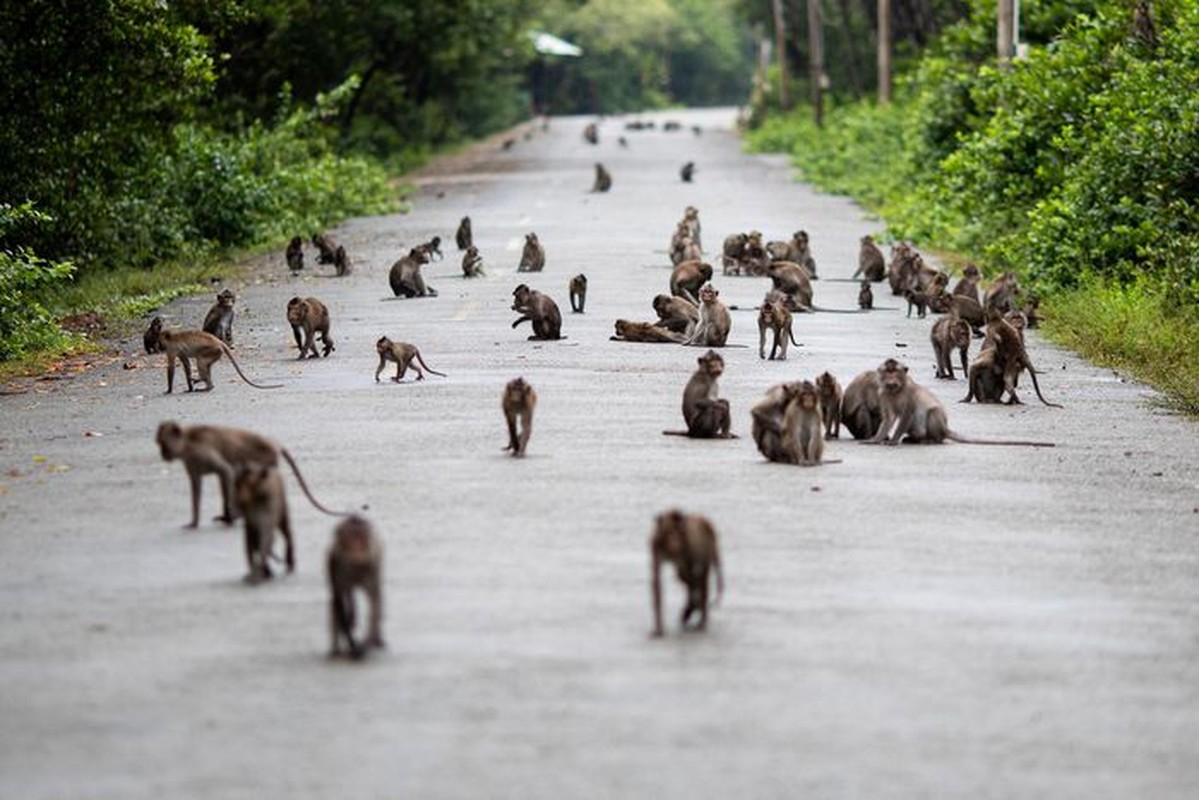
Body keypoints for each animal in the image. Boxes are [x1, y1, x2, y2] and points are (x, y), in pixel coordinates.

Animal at [154, 419, 342, 532]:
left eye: (163, 443)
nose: (162, 454)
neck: (186, 444)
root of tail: (272, 444)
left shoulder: (202, 452)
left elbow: (225, 471)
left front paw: (230, 518)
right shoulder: (191, 463)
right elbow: (196, 486)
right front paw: (194, 522)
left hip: (264, 459)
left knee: (239, 471)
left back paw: (235, 515)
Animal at [328, 515, 383, 662]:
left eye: (362, 538)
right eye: (350, 538)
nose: (358, 551)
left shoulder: (371, 565)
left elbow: (374, 602)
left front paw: (364, 644)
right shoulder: (337, 566)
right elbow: (339, 600)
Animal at [868, 359, 1055, 448]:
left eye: (895, 372)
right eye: (887, 372)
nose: (891, 381)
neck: (895, 391)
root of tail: (945, 429)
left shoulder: (909, 393)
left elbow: (907, 415)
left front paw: (892, 441)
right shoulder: (883, 393)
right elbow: (889, 418)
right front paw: (875, 439)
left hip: (937, 424)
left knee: (932, 413)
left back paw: (931, 440)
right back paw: (914, 439)